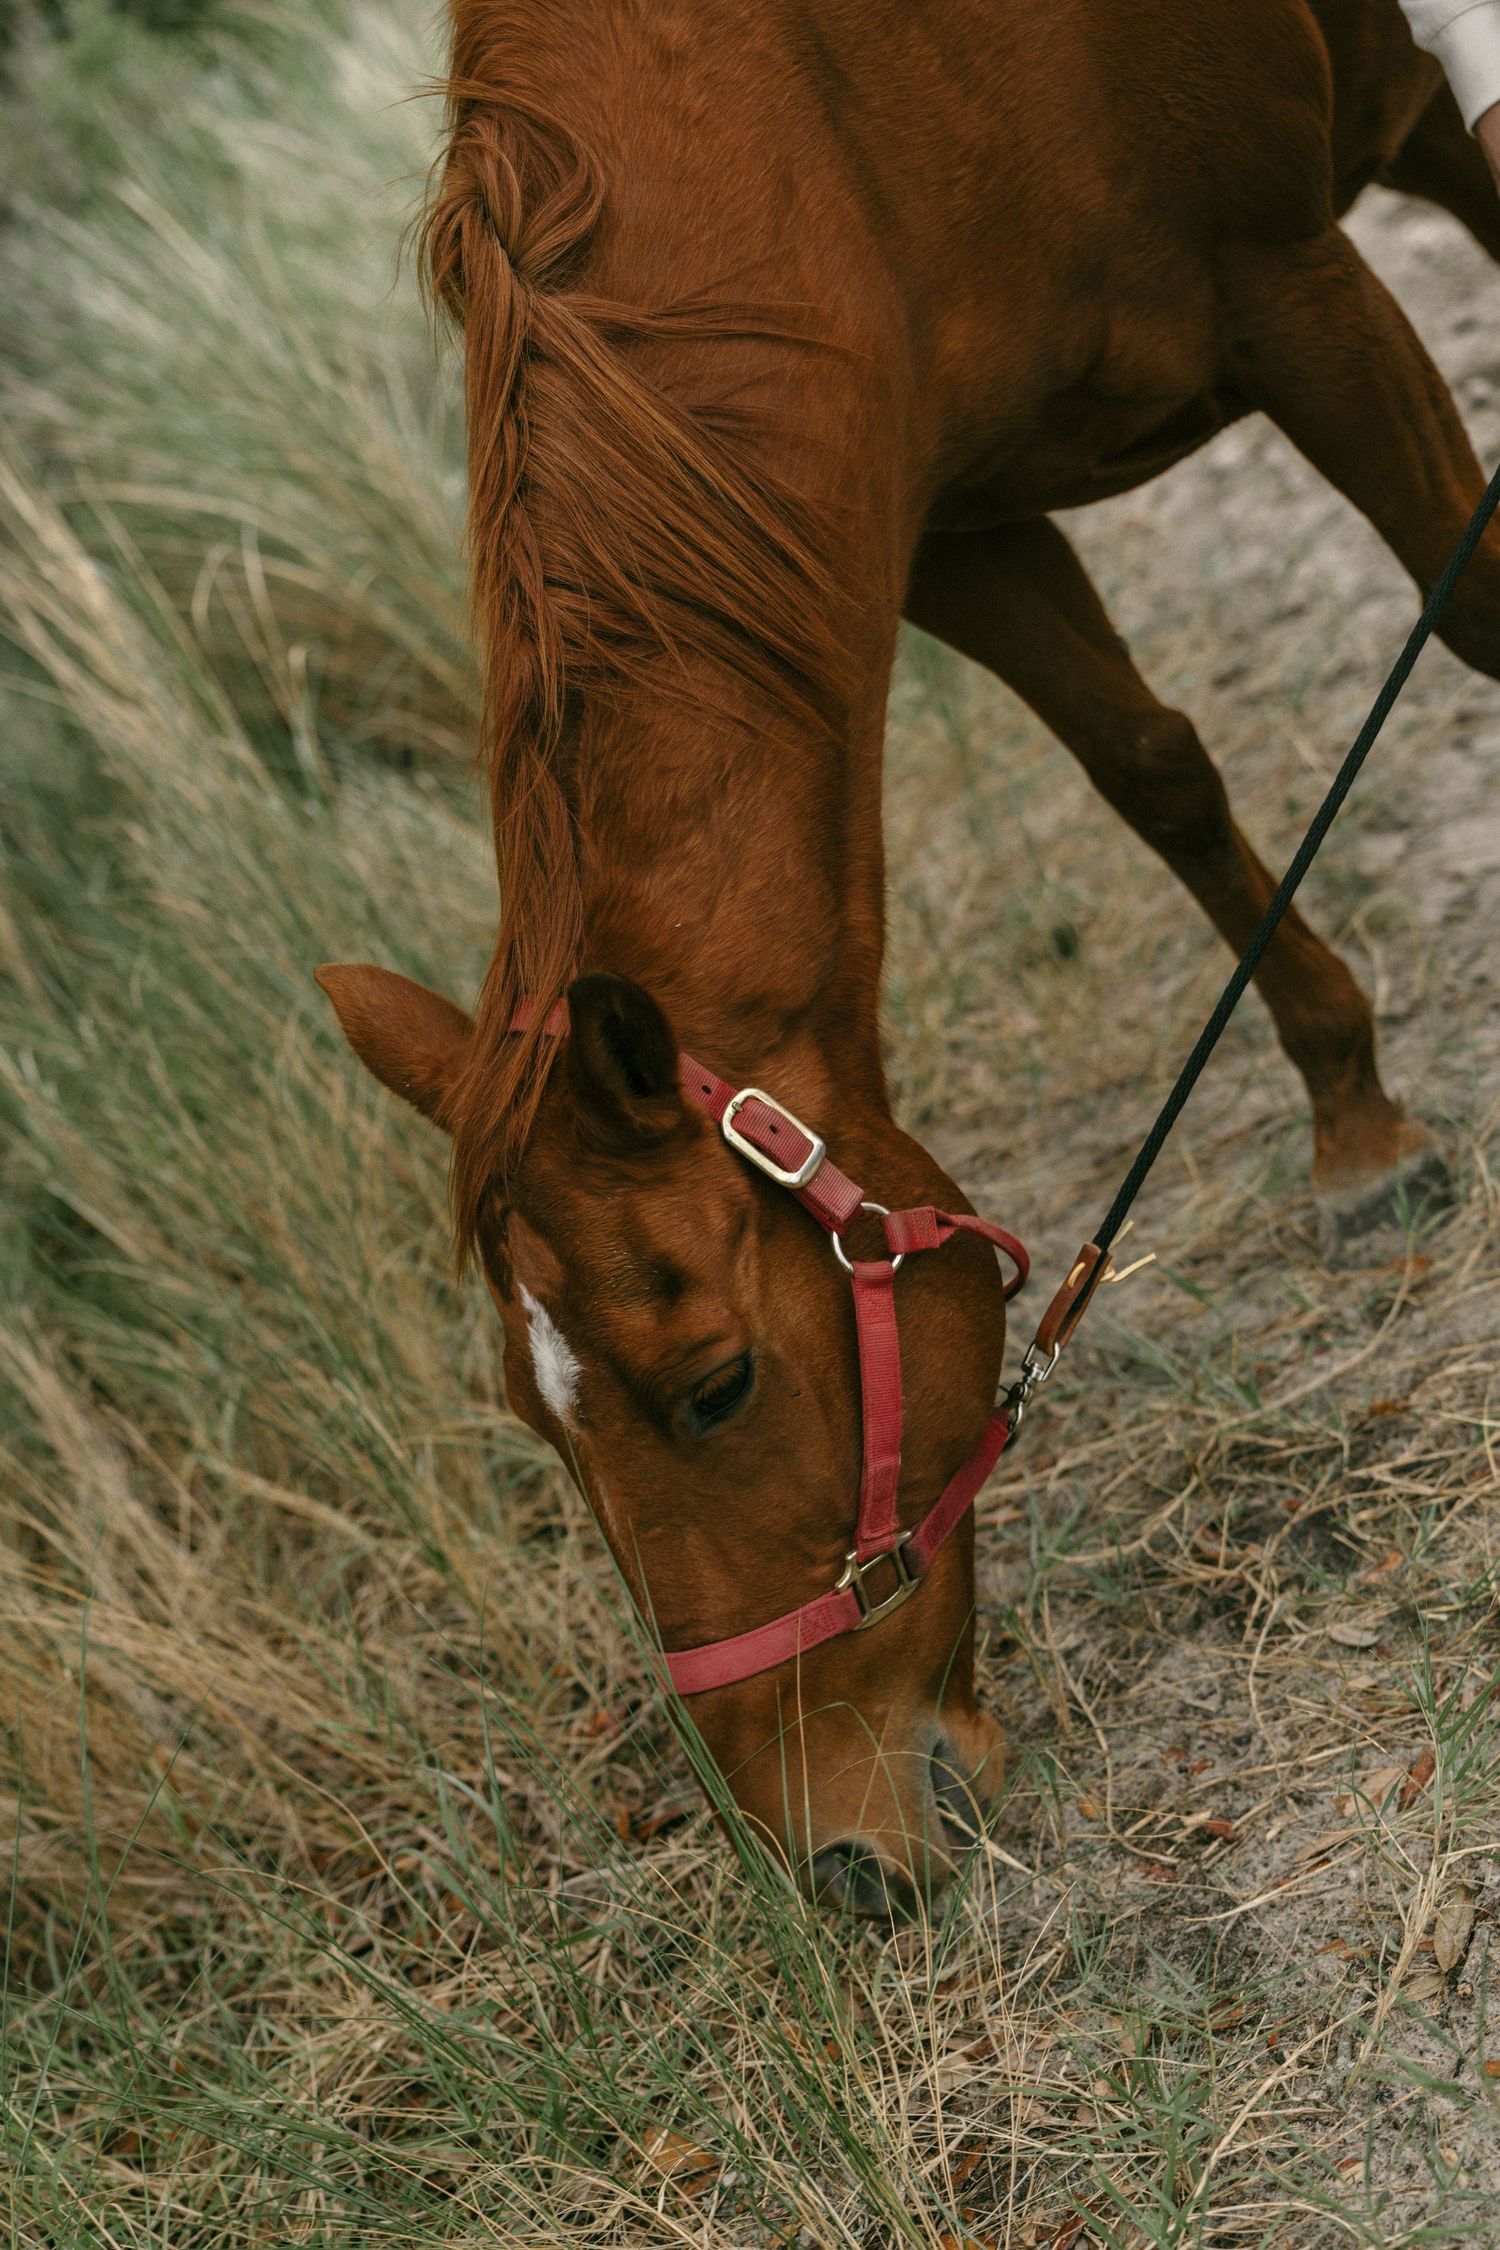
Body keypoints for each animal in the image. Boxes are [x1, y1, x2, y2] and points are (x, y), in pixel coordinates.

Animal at [318, 0, 1500, 1917]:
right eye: (532, 1420)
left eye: (713, 1388)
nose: (839, 1866)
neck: (831, 124)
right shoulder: (956, 527)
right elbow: (1155, 773)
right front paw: (1357, 1120)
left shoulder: (1300, 292)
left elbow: (1476, 609)